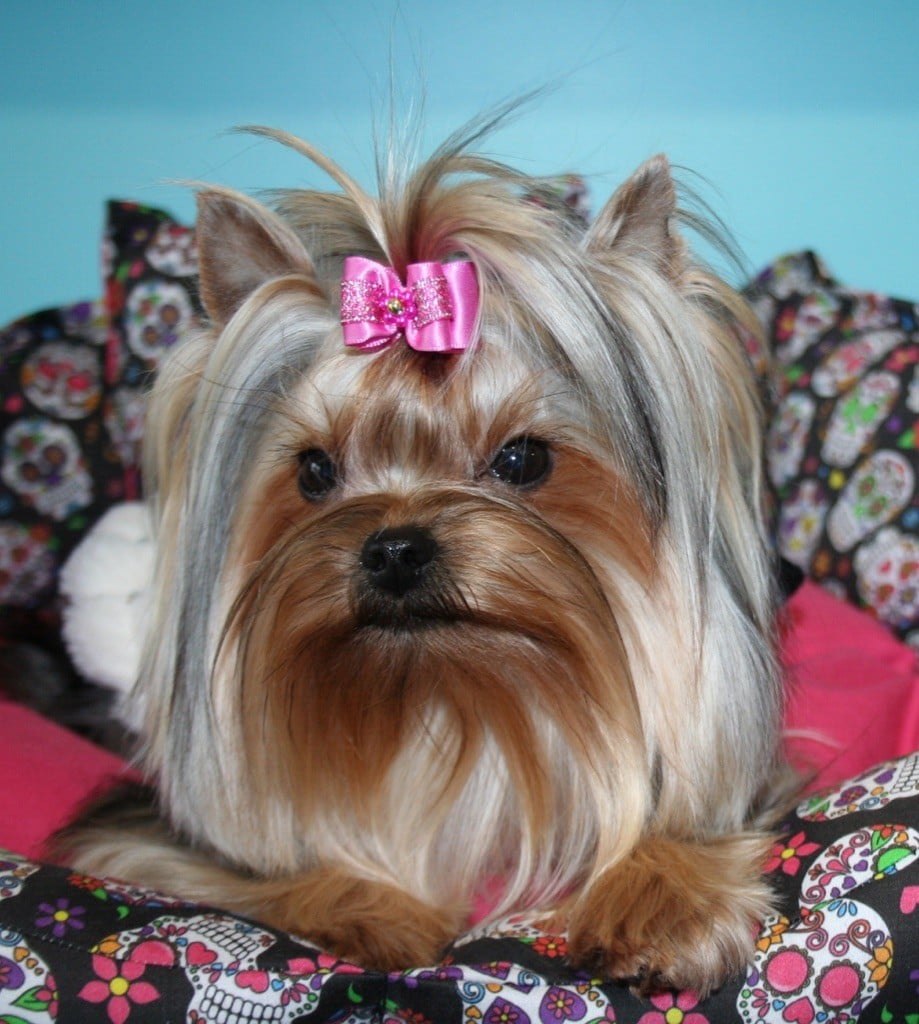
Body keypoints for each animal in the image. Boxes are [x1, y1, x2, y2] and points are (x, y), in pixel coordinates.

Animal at [55, 119, 786, 996]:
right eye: (313, 471)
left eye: (522, 459)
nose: (394, 550)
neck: (454, 700)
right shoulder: (140, 843)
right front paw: (372, 908)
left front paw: (663, 900)